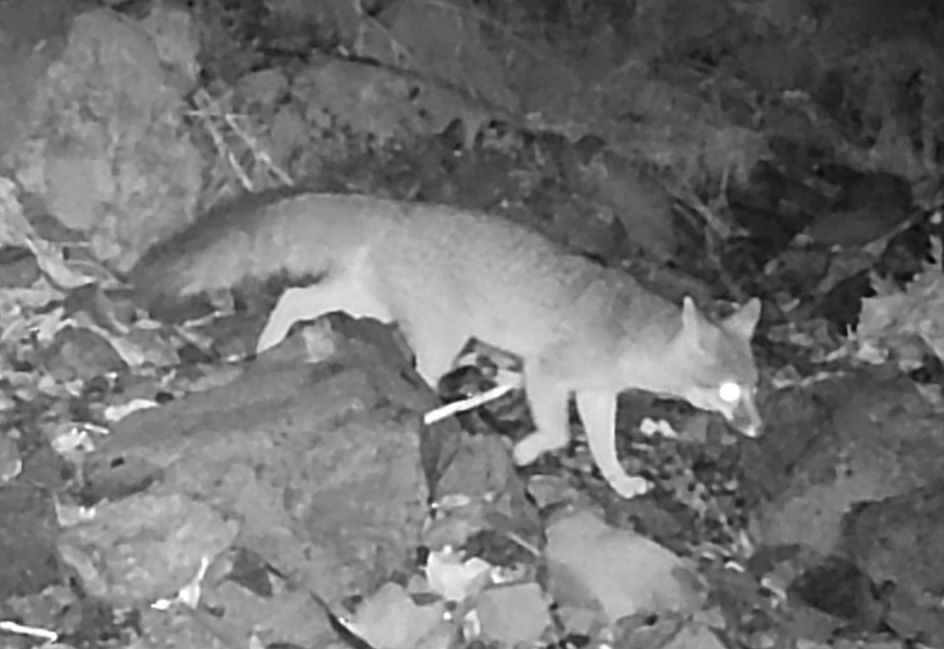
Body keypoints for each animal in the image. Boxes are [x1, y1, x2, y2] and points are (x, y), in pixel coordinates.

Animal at [130, 189, 763, 498]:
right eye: (730, 392)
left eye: (755, 388)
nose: (758, 431)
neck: (628, 331)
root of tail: (399, 210)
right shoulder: (548, 374)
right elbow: (559, 434)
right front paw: (526, 452)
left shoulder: (595, 394)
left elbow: (604, 447)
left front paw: (621, 482)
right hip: (439, 335)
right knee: (419, 368)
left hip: (367, 300)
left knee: (293, 299)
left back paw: (267, 348)